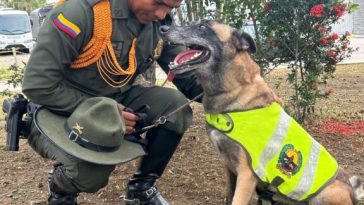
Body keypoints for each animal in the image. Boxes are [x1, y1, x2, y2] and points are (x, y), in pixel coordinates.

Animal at [159, 20, 364, 205]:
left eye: (202, 26)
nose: (162, 28)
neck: (235, 90)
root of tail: (352, 192)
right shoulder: (228, 167)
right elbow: (229, 196)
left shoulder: (246, 174)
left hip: (327, 193)